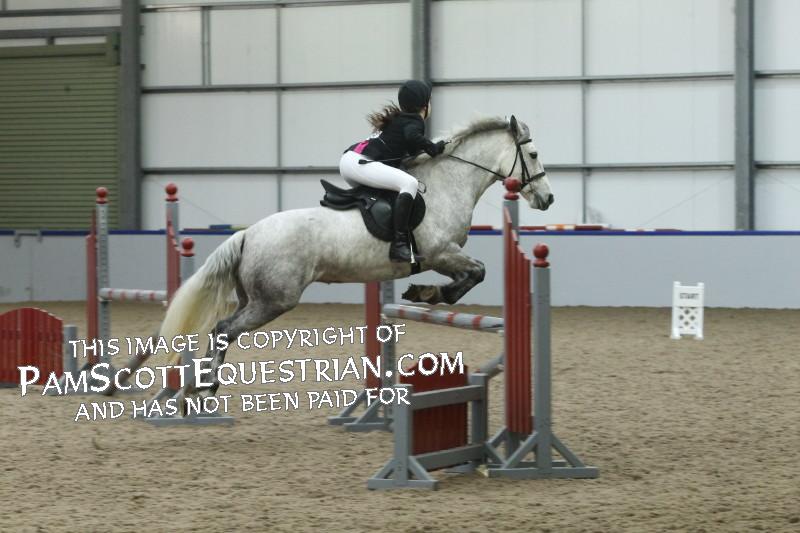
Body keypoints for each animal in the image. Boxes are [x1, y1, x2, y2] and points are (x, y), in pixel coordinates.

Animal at [159, 115, 553, 393]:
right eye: (533, 155)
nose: (547, 199)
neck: (448, 183)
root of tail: (248, 234)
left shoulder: (443, 257)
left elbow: (468, 277)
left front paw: (423, 292)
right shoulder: (441, 252)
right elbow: (477, 272)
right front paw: (430, 293)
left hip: (253, 298)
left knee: (221, 328)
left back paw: (198, 386)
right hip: (274, 300)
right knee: (223, 329)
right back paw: (205, 386)